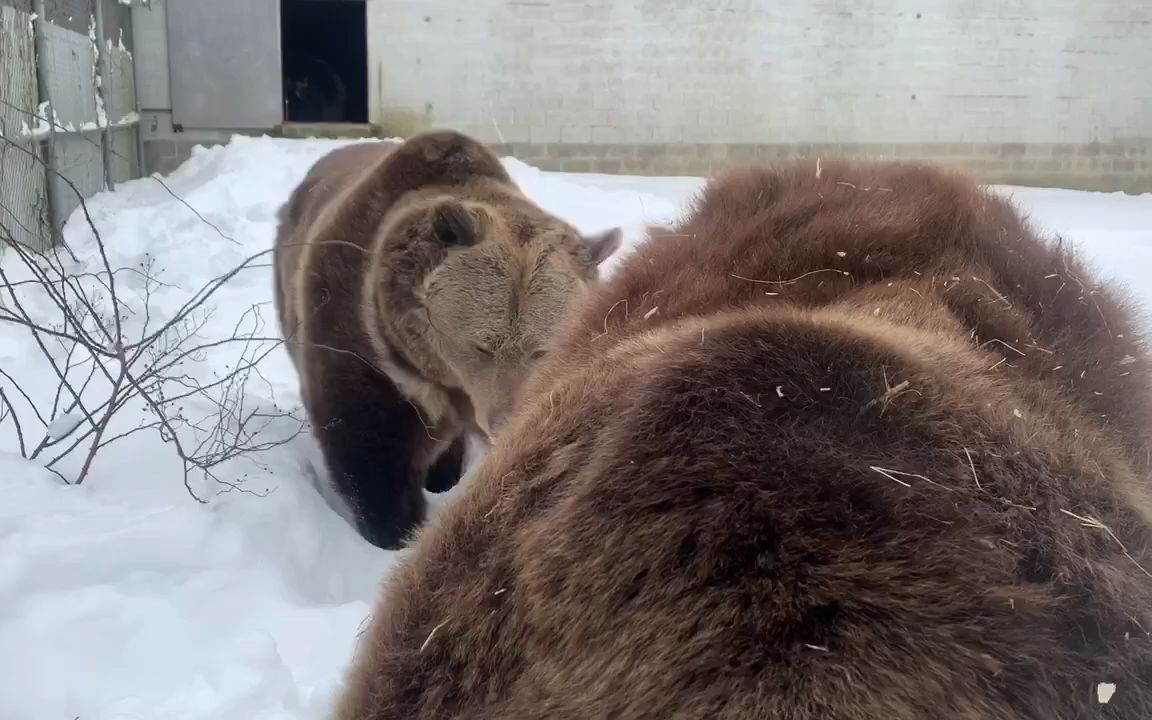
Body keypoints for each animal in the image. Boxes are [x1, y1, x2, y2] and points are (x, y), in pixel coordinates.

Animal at [270, 129, 622, 548]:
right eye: (482, 345)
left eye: (542, 349)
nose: (504, 420)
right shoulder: (358, 335)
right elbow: (368, 445)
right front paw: (396, 531)